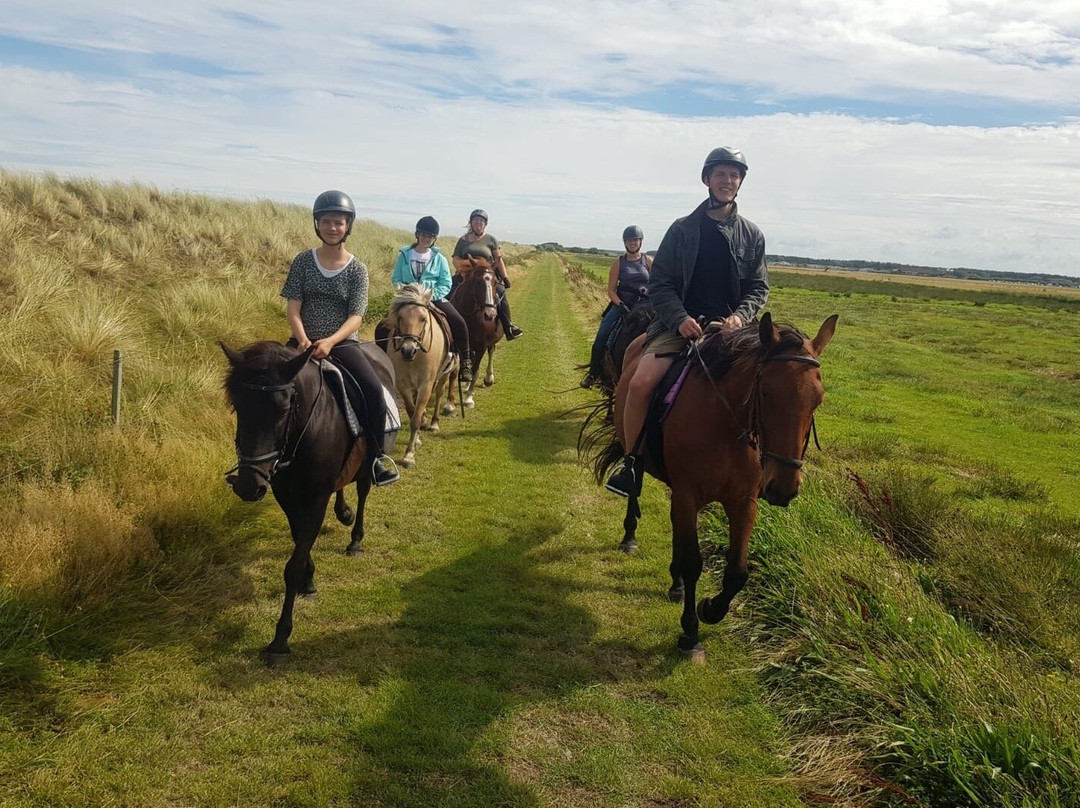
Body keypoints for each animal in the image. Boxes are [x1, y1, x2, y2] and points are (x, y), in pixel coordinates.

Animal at [219, 339, 393, 661]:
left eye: (283, 409)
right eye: (238, 406)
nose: (248, 486)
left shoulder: (315, 497)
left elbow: (294, 565)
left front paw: (279, 641)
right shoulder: (287, 496)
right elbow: (300, 539)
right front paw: (309, 581)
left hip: (367, 462)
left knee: (363, 490)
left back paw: (355, 540)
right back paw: (344, 512)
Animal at [384, 283, 455, 466]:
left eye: (423, 319)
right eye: (400, 317)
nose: (408, 350)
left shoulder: (426, 384)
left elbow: (415, 417)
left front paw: (409, 455)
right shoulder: (402, 385)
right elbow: (411, 411)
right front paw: (416, 441)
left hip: (443, 375)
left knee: (439, 393)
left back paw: (434, 423)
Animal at [453, 256, 507, 406]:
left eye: (495, 282)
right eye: (477, 282)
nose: (490, 314)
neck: (469, 315)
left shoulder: (482, 345)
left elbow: (475, 370)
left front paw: (469, 398)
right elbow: (466, 366)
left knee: (491, 351)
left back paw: (489, 378)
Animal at [583, 313, 833, 661]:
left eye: (818, 399)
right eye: (766, 392)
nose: (783, 488)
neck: (726, 426)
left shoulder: (743, 502)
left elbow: (737, 572)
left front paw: (710, 608)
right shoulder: (689, 496)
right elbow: (693, 564)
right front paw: (691, 634)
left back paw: (675, 584)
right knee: (634, 489)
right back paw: (630, 536)